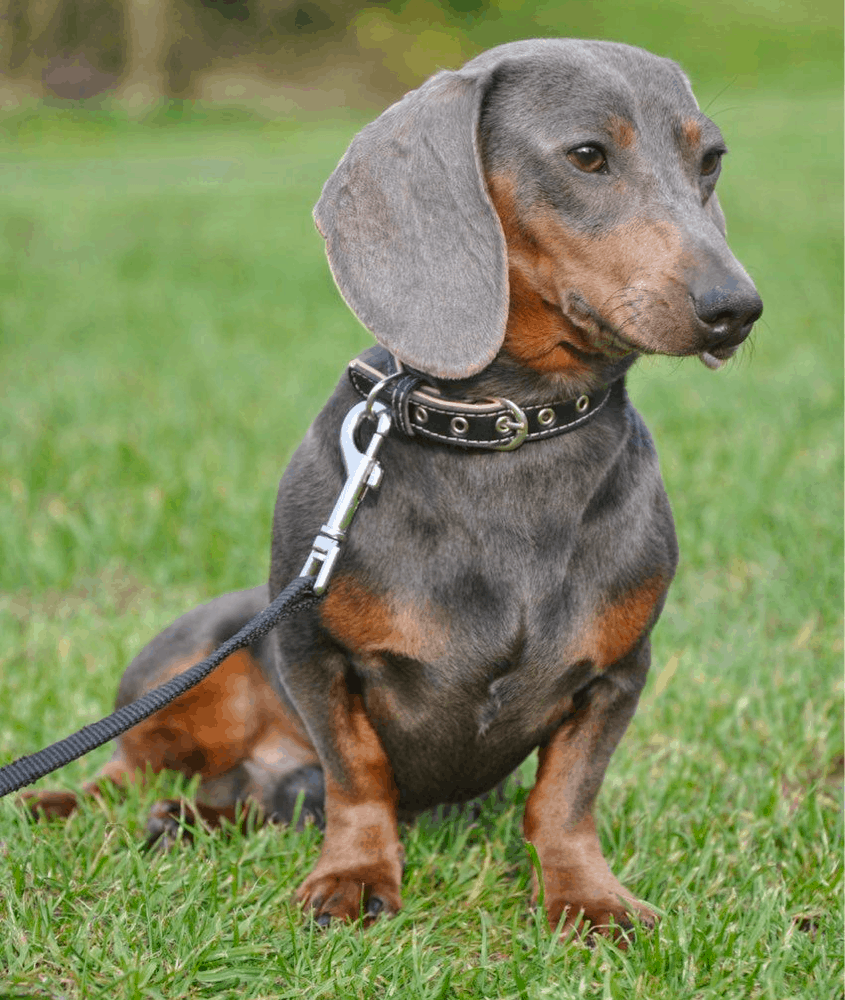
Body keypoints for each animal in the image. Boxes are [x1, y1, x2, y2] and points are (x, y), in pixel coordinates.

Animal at [21, 41, 760, 936]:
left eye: (709, 160)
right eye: (587, 156)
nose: (737, 308)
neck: (507, 431)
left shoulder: (615, 672)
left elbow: (563, 798)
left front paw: (587, 896)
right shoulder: (315, 655)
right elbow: (359, 777)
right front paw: (354, 877)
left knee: (231, 797)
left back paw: (187, 821)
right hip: (198, 670)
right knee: (130, 765)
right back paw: (59, 803)